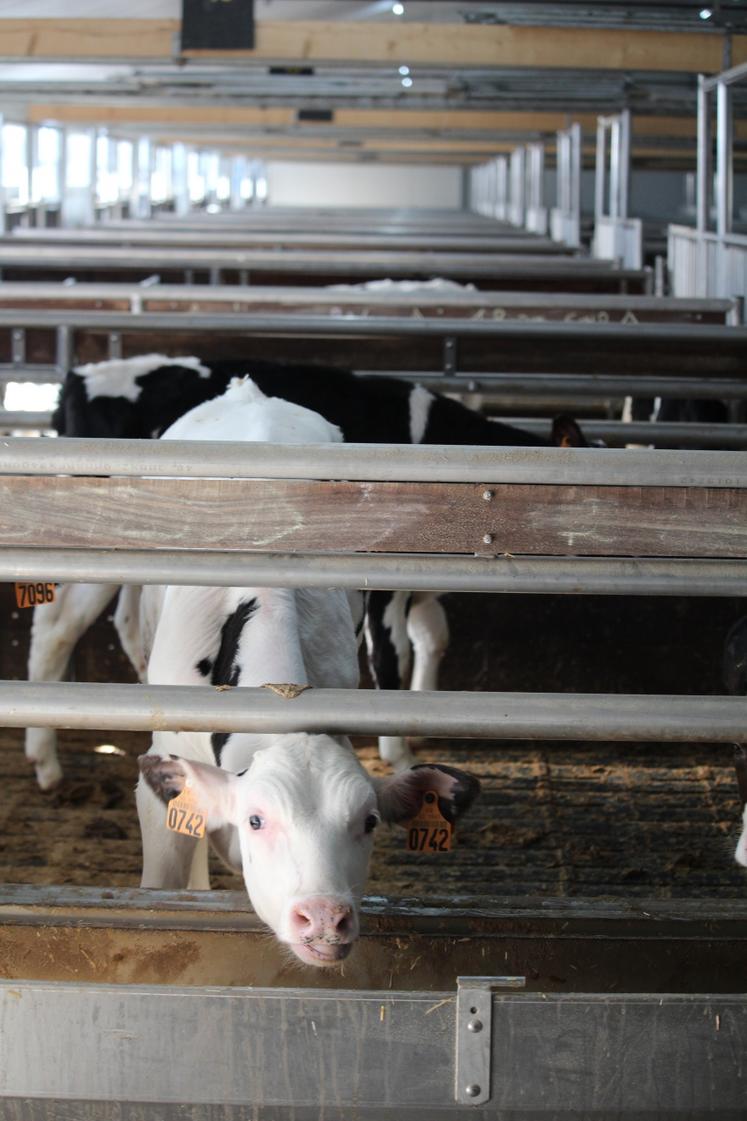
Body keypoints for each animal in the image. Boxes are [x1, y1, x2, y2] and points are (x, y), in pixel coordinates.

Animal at [27, 351, 587, 789]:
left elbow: (433, 638)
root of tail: (78, 376)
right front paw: (397, 749)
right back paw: (45, 761)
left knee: (126, 624)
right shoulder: (385, 580)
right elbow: (393, 654)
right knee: (56, 626)